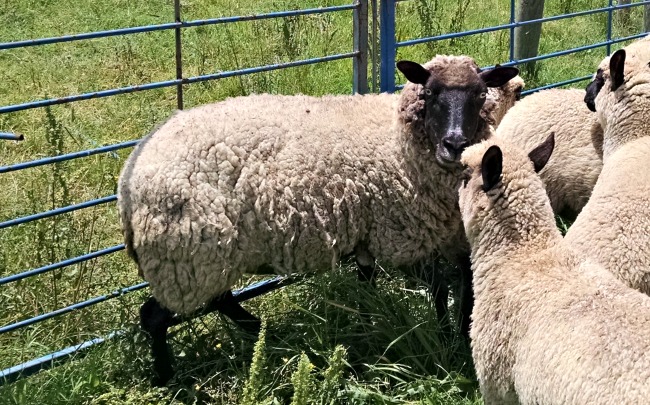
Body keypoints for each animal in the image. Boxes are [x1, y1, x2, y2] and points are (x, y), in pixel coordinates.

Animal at [117, 55, 520, 384]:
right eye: (432, 93)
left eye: (479, 95)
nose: (455, 144)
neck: (397, 144)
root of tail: (129, 176)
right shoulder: (409, 231)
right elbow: (437, 288)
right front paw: (442, 336)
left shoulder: (378, 230)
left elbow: (378, 283)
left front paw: (372, 326)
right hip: (186, 254)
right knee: (156, 316)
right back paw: (168, 377)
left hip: (207, 253)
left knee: (219, 300)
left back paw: (266, 334)